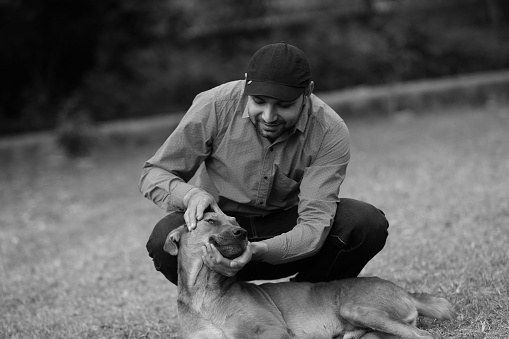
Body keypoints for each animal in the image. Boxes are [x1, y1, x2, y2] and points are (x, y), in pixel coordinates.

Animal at [164, 212, 452, 339]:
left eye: (235, 222)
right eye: (210, 220)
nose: (242, 233)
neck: (206, 292)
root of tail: (405, 291)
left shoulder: (273, 330)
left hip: (357, 309)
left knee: (425, 336)